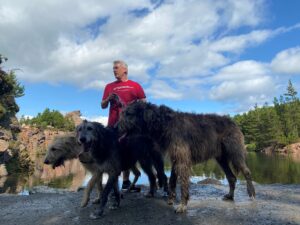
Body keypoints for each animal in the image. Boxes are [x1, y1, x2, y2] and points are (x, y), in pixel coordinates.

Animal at [117, 101, 255, 213]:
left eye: (128, 114)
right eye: (122, 113)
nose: (115, 127)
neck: (165, 123)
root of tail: (233, 122)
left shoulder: (182, 158)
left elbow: (183, 182)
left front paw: (182, 205)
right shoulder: (175, 157)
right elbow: (172, 180)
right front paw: (171, 199)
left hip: (235, 152)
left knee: (247, 171)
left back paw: (252, 193)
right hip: (221, 158)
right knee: (231, 177)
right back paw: (230, 196)